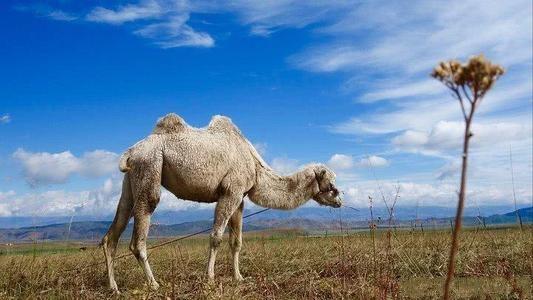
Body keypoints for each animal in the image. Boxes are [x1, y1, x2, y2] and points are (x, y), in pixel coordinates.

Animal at [101, 113, 340, 292]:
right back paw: (154, 284)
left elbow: (237, 242)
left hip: (131, 181)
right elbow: (216, 237)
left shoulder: (239, 198)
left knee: (112, 232)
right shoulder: (230, 192)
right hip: (149, 167)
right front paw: (210, 278)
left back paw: (114, 288)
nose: (340, 200)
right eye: (331, 183)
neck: (255, 166)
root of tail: (131, 152)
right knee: (140, 231)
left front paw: (239, 277)